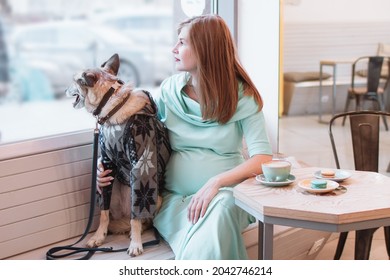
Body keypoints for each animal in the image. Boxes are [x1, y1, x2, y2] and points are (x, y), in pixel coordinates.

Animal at [64, 53, 170, 258]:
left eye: (74, 80)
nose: (64, 90)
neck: (113, 106)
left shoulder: (142, 168)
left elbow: (136, 217)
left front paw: (135, 244)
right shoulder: (106, 164)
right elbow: (103, 214)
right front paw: (99, 236)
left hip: (153, 197)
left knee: (141, 219)